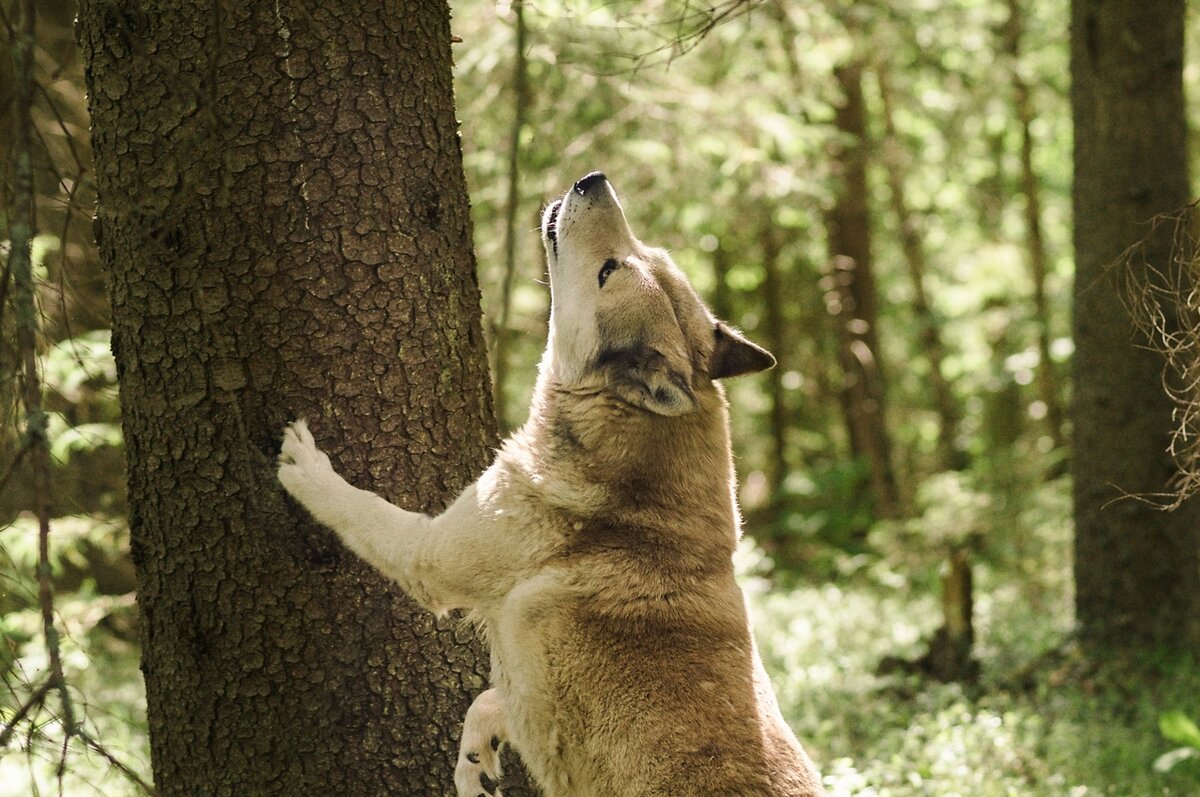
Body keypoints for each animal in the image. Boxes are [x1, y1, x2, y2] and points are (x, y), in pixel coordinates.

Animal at [278, 171, 825, 792]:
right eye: (646, 251)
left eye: (608, 271)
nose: (593, 179)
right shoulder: (525, 698)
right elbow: (488, 703)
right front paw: (475, 765)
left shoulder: (429, 554)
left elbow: (362, 509)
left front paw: (307, 469)